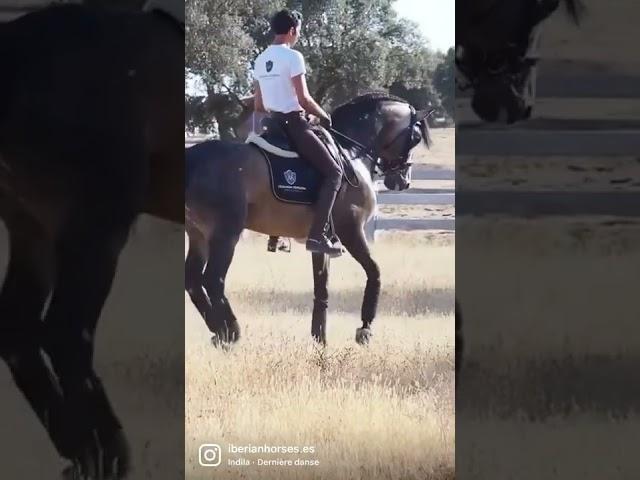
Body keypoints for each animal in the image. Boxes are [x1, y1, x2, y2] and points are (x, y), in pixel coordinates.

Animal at [0, 2, 185, 476]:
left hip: (35, 230)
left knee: (17, 328)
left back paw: (79, 450)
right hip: (96, 229)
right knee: (67, 332)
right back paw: (108, 454)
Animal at [185, 94, 432, 346]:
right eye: (415, 138)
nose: (403, 181)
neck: (350, 151)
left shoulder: (322, 241)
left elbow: (321, 288)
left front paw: (319, 341)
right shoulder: (350, 229)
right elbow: (374, 271)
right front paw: (365, 328)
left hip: (198, 234)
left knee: (193, 281)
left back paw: (218, 331)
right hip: (226, 233)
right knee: (213, 280)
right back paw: (231, 331)